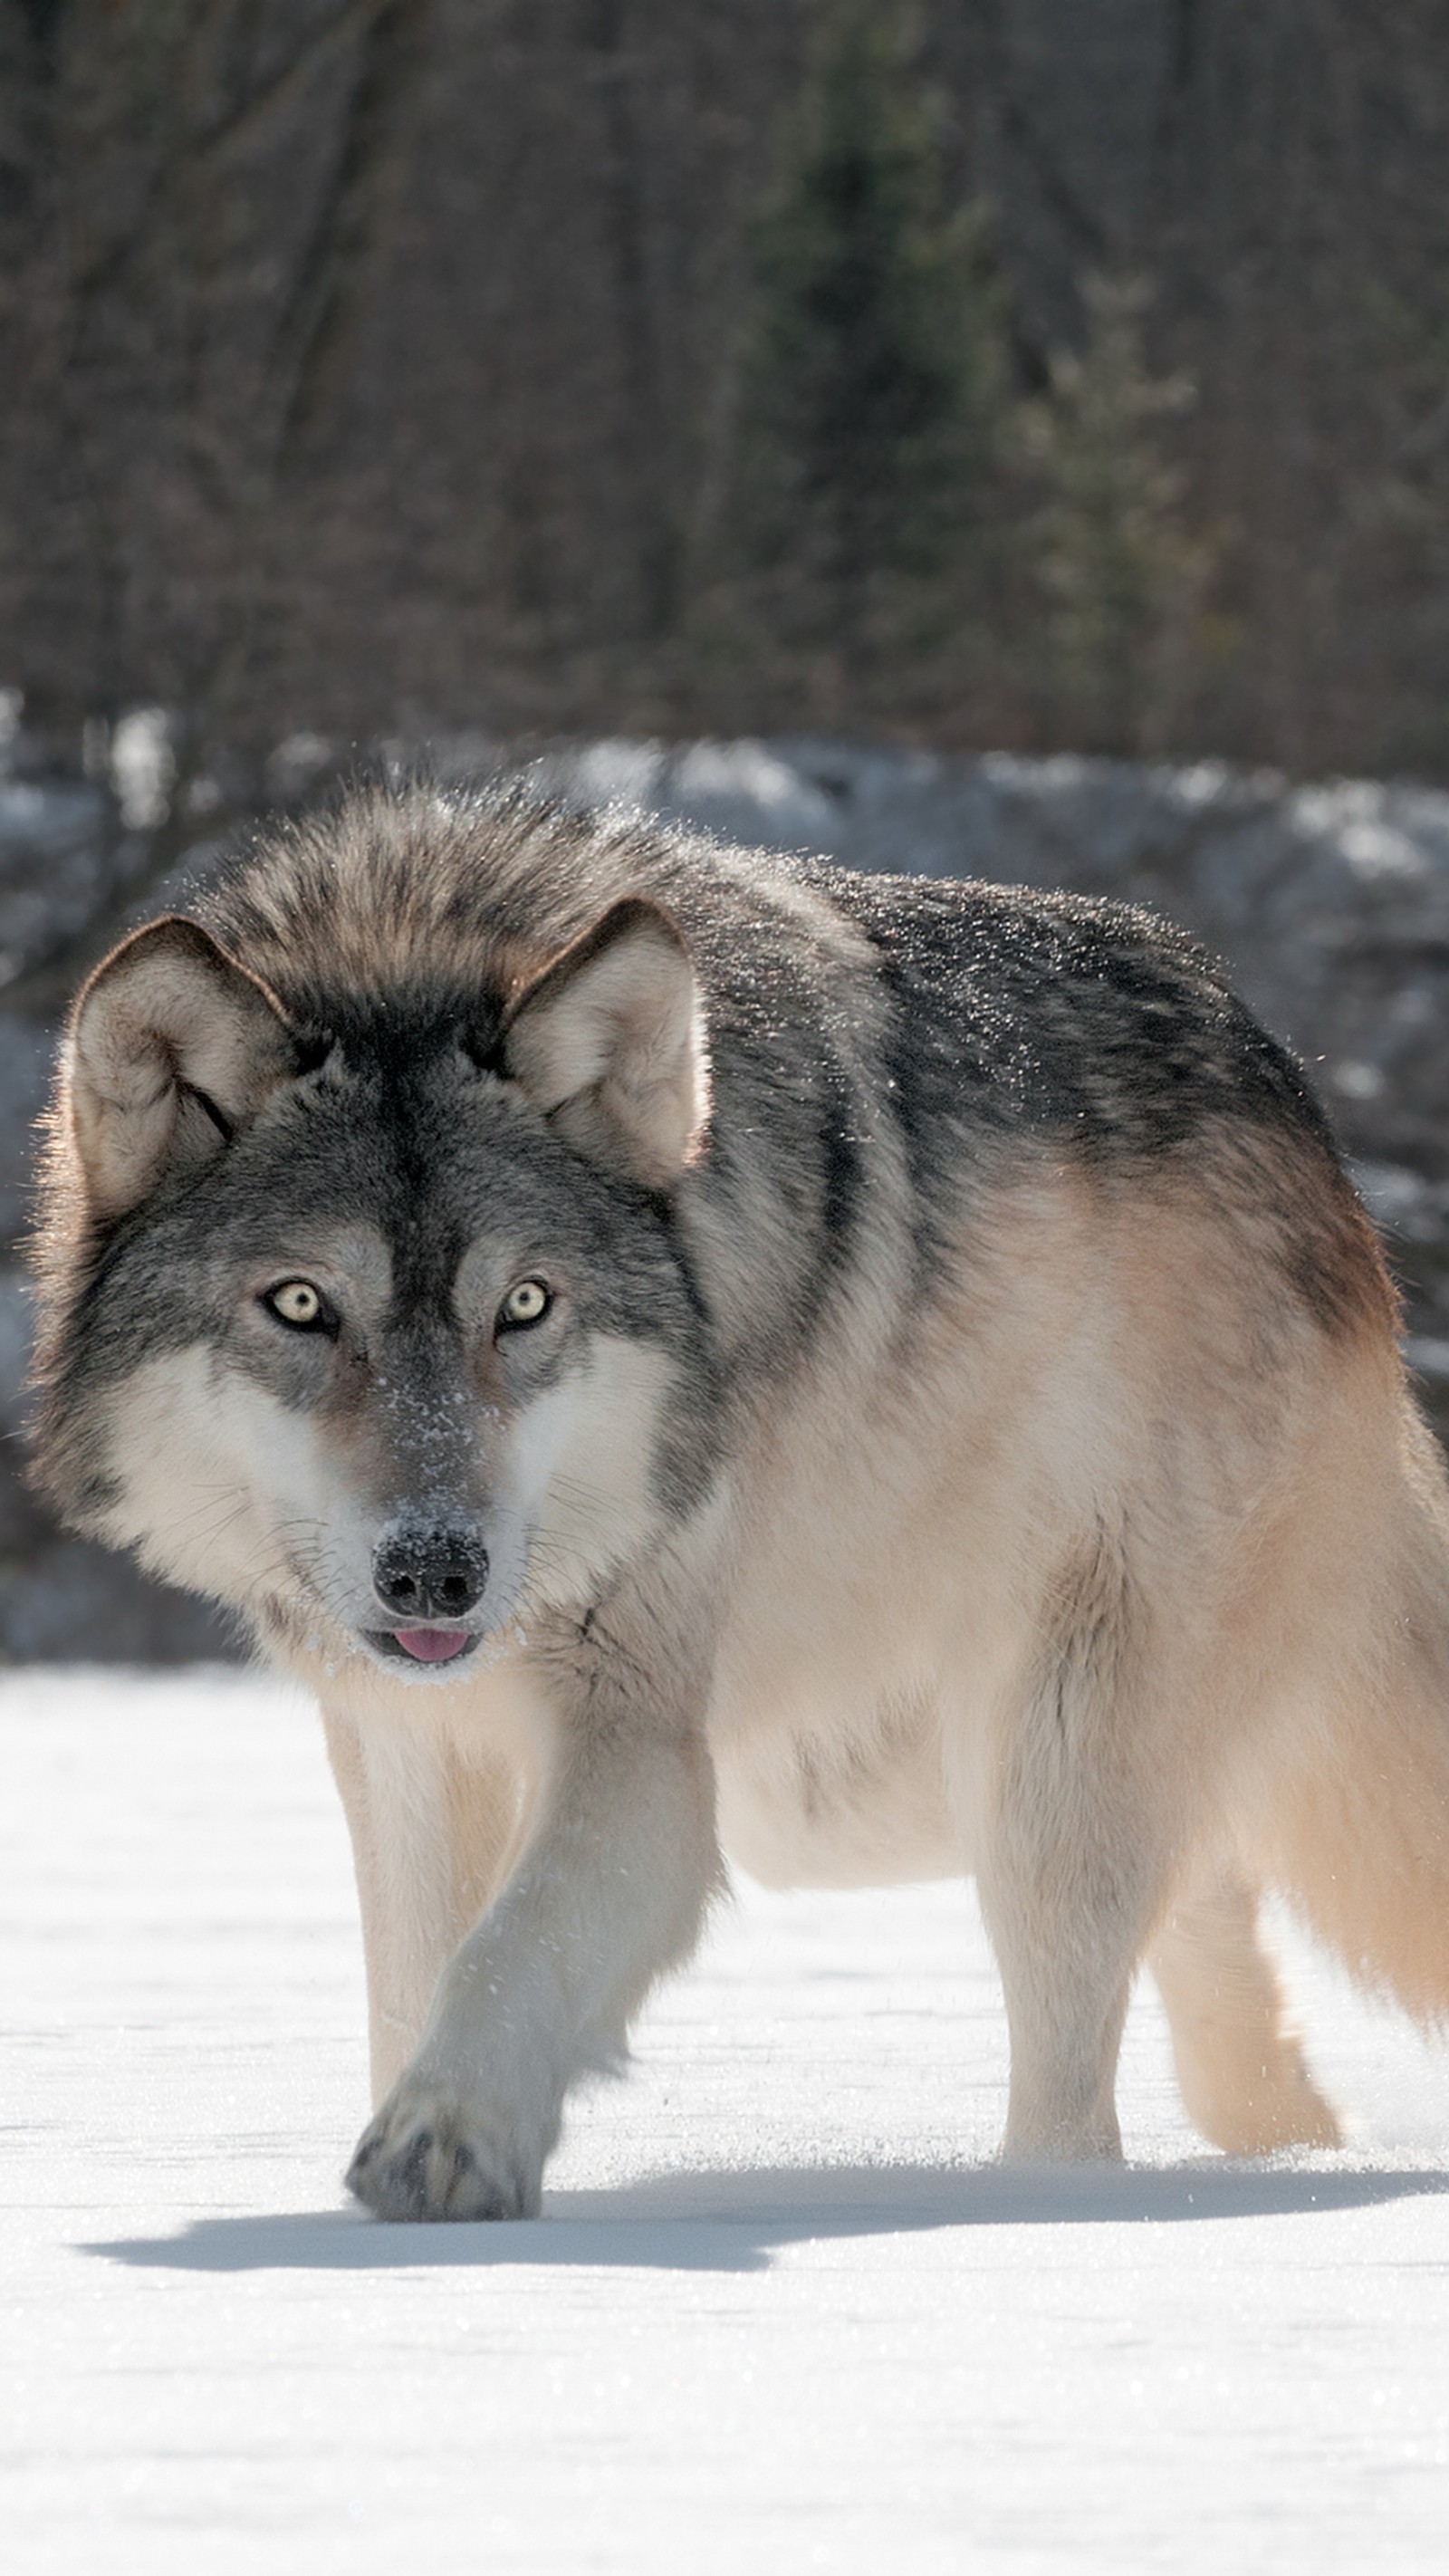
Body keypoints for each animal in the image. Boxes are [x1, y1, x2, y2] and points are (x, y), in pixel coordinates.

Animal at [28, 783, 1449, 2215]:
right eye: (302, 1305)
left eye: (525, 1304)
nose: (438, 1571)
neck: (415, 941)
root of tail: (1311, 1131)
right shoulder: (406, 1741)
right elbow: (413, 1980)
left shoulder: (639, 1742)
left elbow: (508, 1949)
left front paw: (446, 2140)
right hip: (866, 1787)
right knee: (1213, 1926)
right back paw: (1276, 2147)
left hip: (1029, 1770)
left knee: (1078, 2081)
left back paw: (1052, 2203)